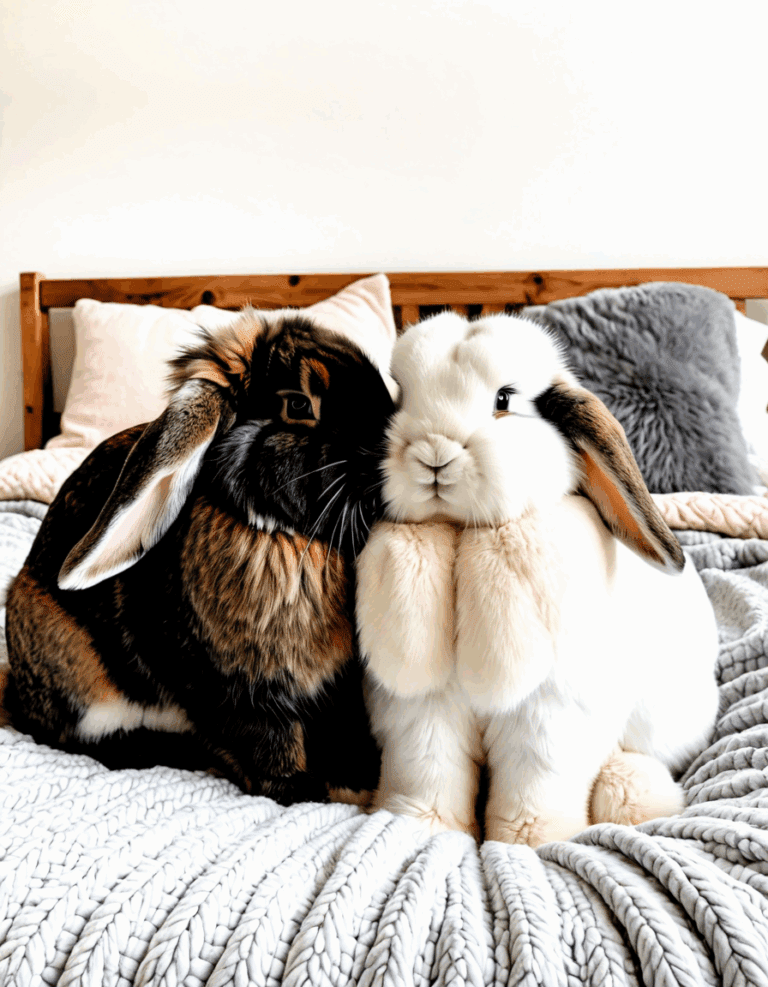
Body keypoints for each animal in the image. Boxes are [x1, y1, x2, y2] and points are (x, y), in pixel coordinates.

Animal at [4, 308, 396, 806]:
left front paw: (359, 782)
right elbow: (269, 740)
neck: (278, 534)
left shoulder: (336, 692)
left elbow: (343, 731)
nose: (391, 447)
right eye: (298, 406)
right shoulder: (232, 691)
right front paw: (300, 791)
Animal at [356, 310, 720, 846]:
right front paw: (421, 827)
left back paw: (634, 795)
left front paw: (531, 840)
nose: (432, 455)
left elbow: (536, 783)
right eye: (400, 396)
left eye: (504, 400)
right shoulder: (421, 713)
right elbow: (428, 772)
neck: (463, 533)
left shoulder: (549, 717)